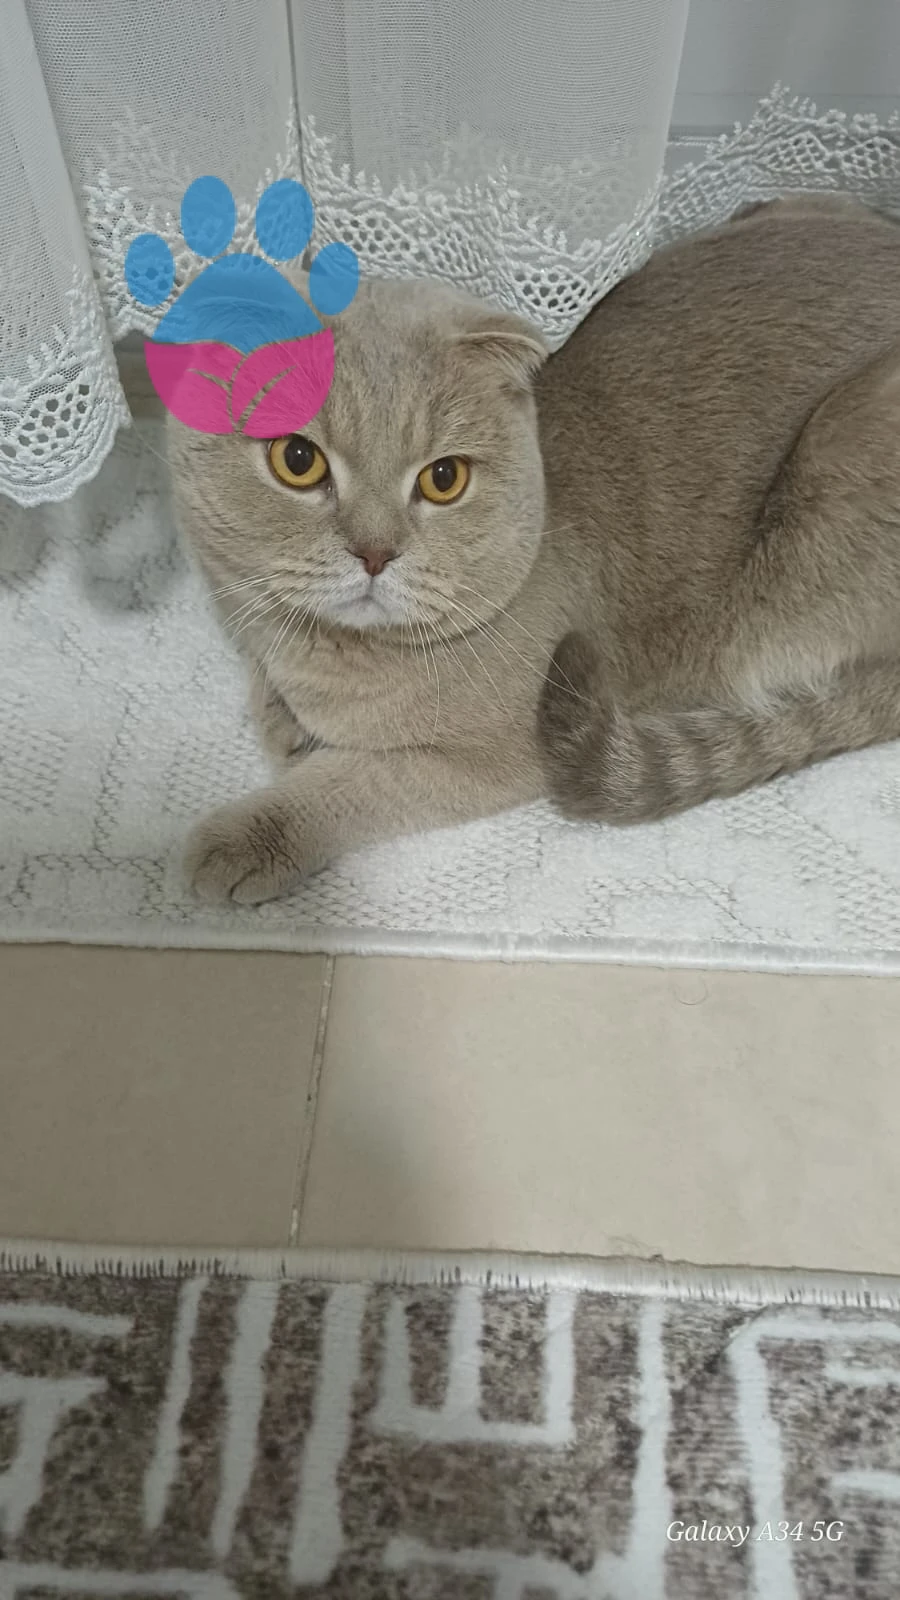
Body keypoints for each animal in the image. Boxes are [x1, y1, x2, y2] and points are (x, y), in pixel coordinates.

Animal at [167, 195, 900, 903]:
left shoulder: (491, 755)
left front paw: (252, 836)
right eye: (297, 460)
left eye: (443, 479)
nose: (375, 552)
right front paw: (283, 720)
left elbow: (356, 781)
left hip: (836, 465)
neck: (327, 657)